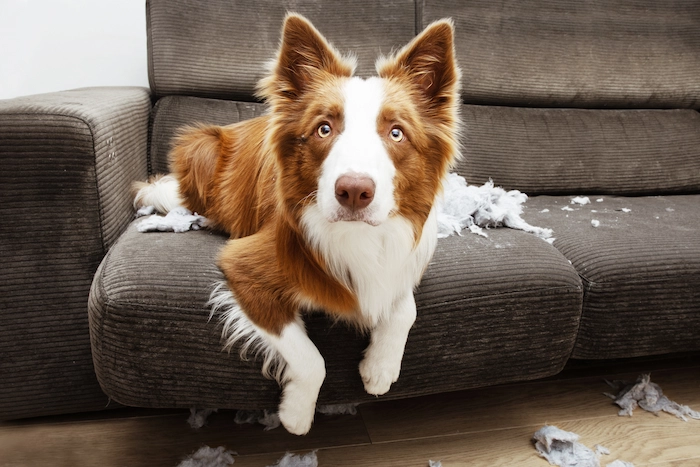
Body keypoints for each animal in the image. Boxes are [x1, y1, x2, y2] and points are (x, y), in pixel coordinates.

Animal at [134, 13, 462, 438]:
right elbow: (310, 358)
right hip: (201, 148)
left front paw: (380, 368)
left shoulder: (400, 261)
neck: (356, 235)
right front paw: (296, 415)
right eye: (324, 129)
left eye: (396, 133)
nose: (353, 192)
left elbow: (405, 307)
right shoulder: (244, 266)